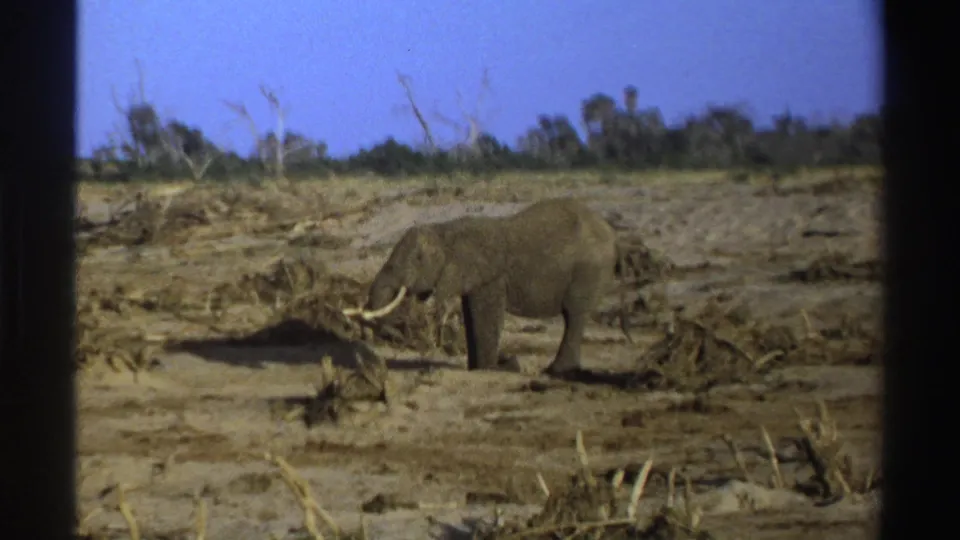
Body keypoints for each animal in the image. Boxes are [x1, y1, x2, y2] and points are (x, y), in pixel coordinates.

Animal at [343, 197, 630, 376]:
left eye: (418, 259)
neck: (446, 230)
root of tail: (615, 237)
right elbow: (471, 315)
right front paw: (476, 368)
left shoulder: (490, 276)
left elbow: (485, 316)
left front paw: (490, 369)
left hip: (588, 271)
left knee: (574, 315)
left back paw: (555, 371)